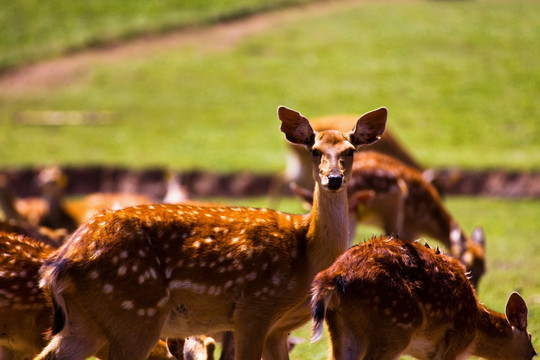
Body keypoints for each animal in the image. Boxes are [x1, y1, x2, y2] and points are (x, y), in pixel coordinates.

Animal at [34, 105, 388, 358]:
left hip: (85, 322)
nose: (334, 179)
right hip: (134, 313)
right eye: (314, 150)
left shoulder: (278, 328)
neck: (306, 253)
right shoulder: (254, 309)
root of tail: (58, 264)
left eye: (350, 150)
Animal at [310, 236, 536, 360]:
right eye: (532, 350)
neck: (476, 330)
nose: (534, 353)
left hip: (341, 326)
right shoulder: (454, 343)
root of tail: (332, 275)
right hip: (394, 326)